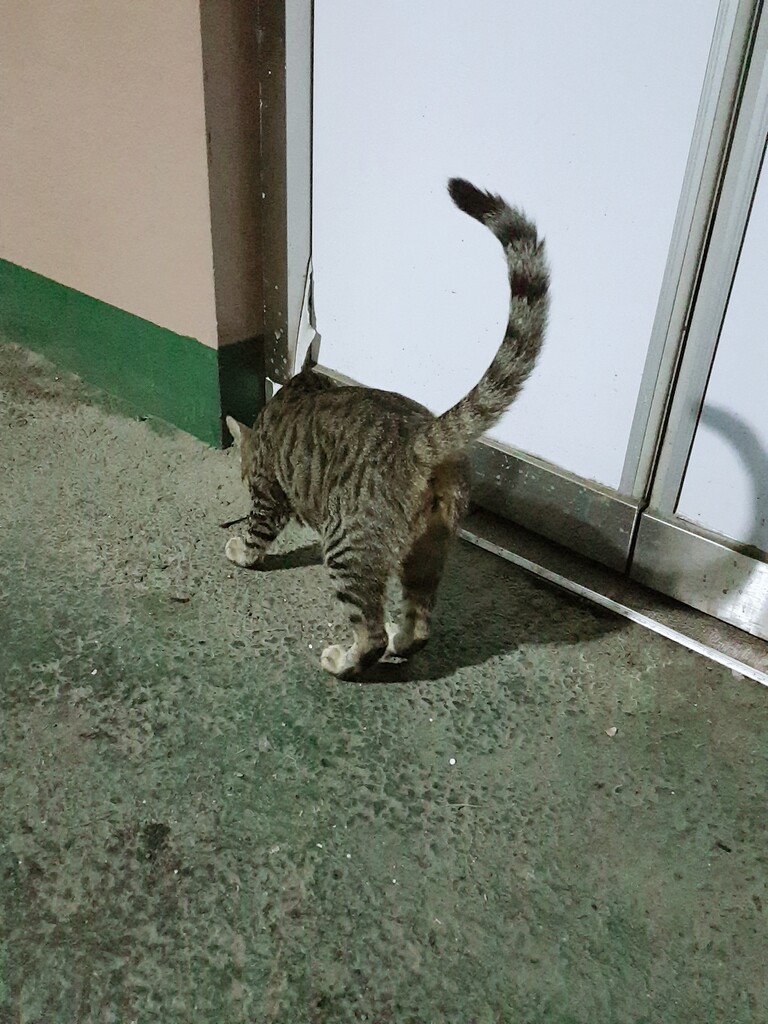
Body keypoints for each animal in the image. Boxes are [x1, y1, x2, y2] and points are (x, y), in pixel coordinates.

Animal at [225, 178, 550, 679]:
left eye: (243, 476)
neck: (291, 390)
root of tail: (420, 440)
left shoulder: (269, 494)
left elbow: (256, 533)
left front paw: (240, 553)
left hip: (347, 548)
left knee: (371, 632)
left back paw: (343, 662)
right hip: (428, 550)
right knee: (420, 623)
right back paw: (403, 638)